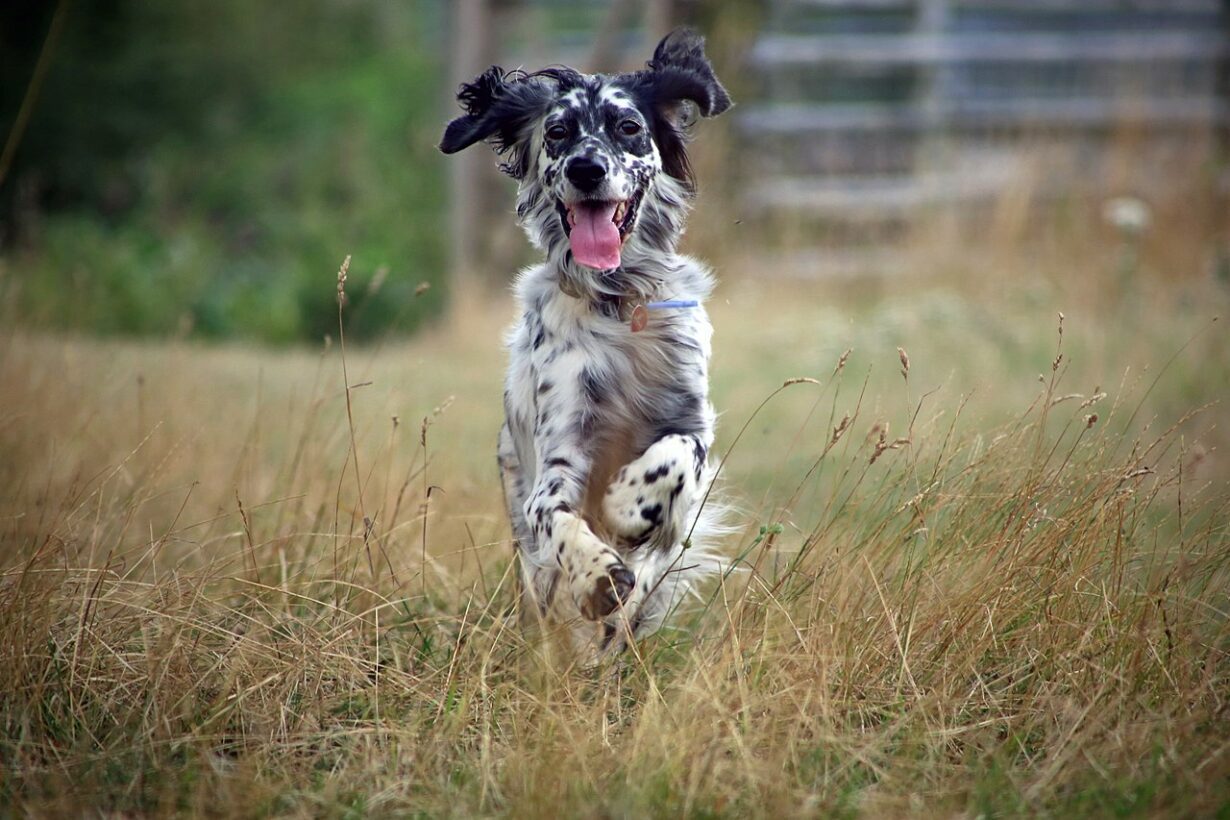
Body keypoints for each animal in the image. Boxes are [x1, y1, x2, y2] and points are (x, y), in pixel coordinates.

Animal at [440, 28, 728, 654]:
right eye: (556, 132)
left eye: (628, 126)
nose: (587, 168)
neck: (618, 303)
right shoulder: (560, 457)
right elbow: (557, 516)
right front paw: (597, 573)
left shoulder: (692, 422)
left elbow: (677, 457)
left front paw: (627, 505)